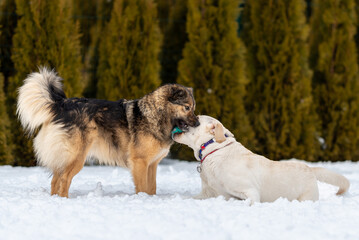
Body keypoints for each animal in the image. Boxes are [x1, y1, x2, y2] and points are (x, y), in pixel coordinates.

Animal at [16, 67, 200, 197]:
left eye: (193, 108)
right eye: (187, 108)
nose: (198, 123)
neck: (155, 115)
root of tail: (61, 105)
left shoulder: (152, 164)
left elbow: (152, 187)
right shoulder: (140, 162)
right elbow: (142, 187)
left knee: (55, 180)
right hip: (76, 157)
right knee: (64, 179)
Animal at [174, 115, 352, 203]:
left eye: (196, 118)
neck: (214, 151)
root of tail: (310, 168)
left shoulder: (251, 191)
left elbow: (249, 202)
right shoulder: (208, 193)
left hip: (306, 198)